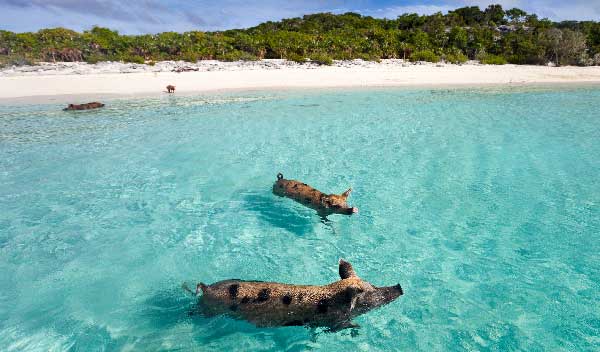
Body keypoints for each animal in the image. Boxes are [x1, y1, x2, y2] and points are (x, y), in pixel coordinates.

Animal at [191, 258, 404, 330]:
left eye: (373, 284)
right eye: (371, 292)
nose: (400, 286)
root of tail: (206, 287)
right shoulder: (334, 321)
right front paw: (358, 327)